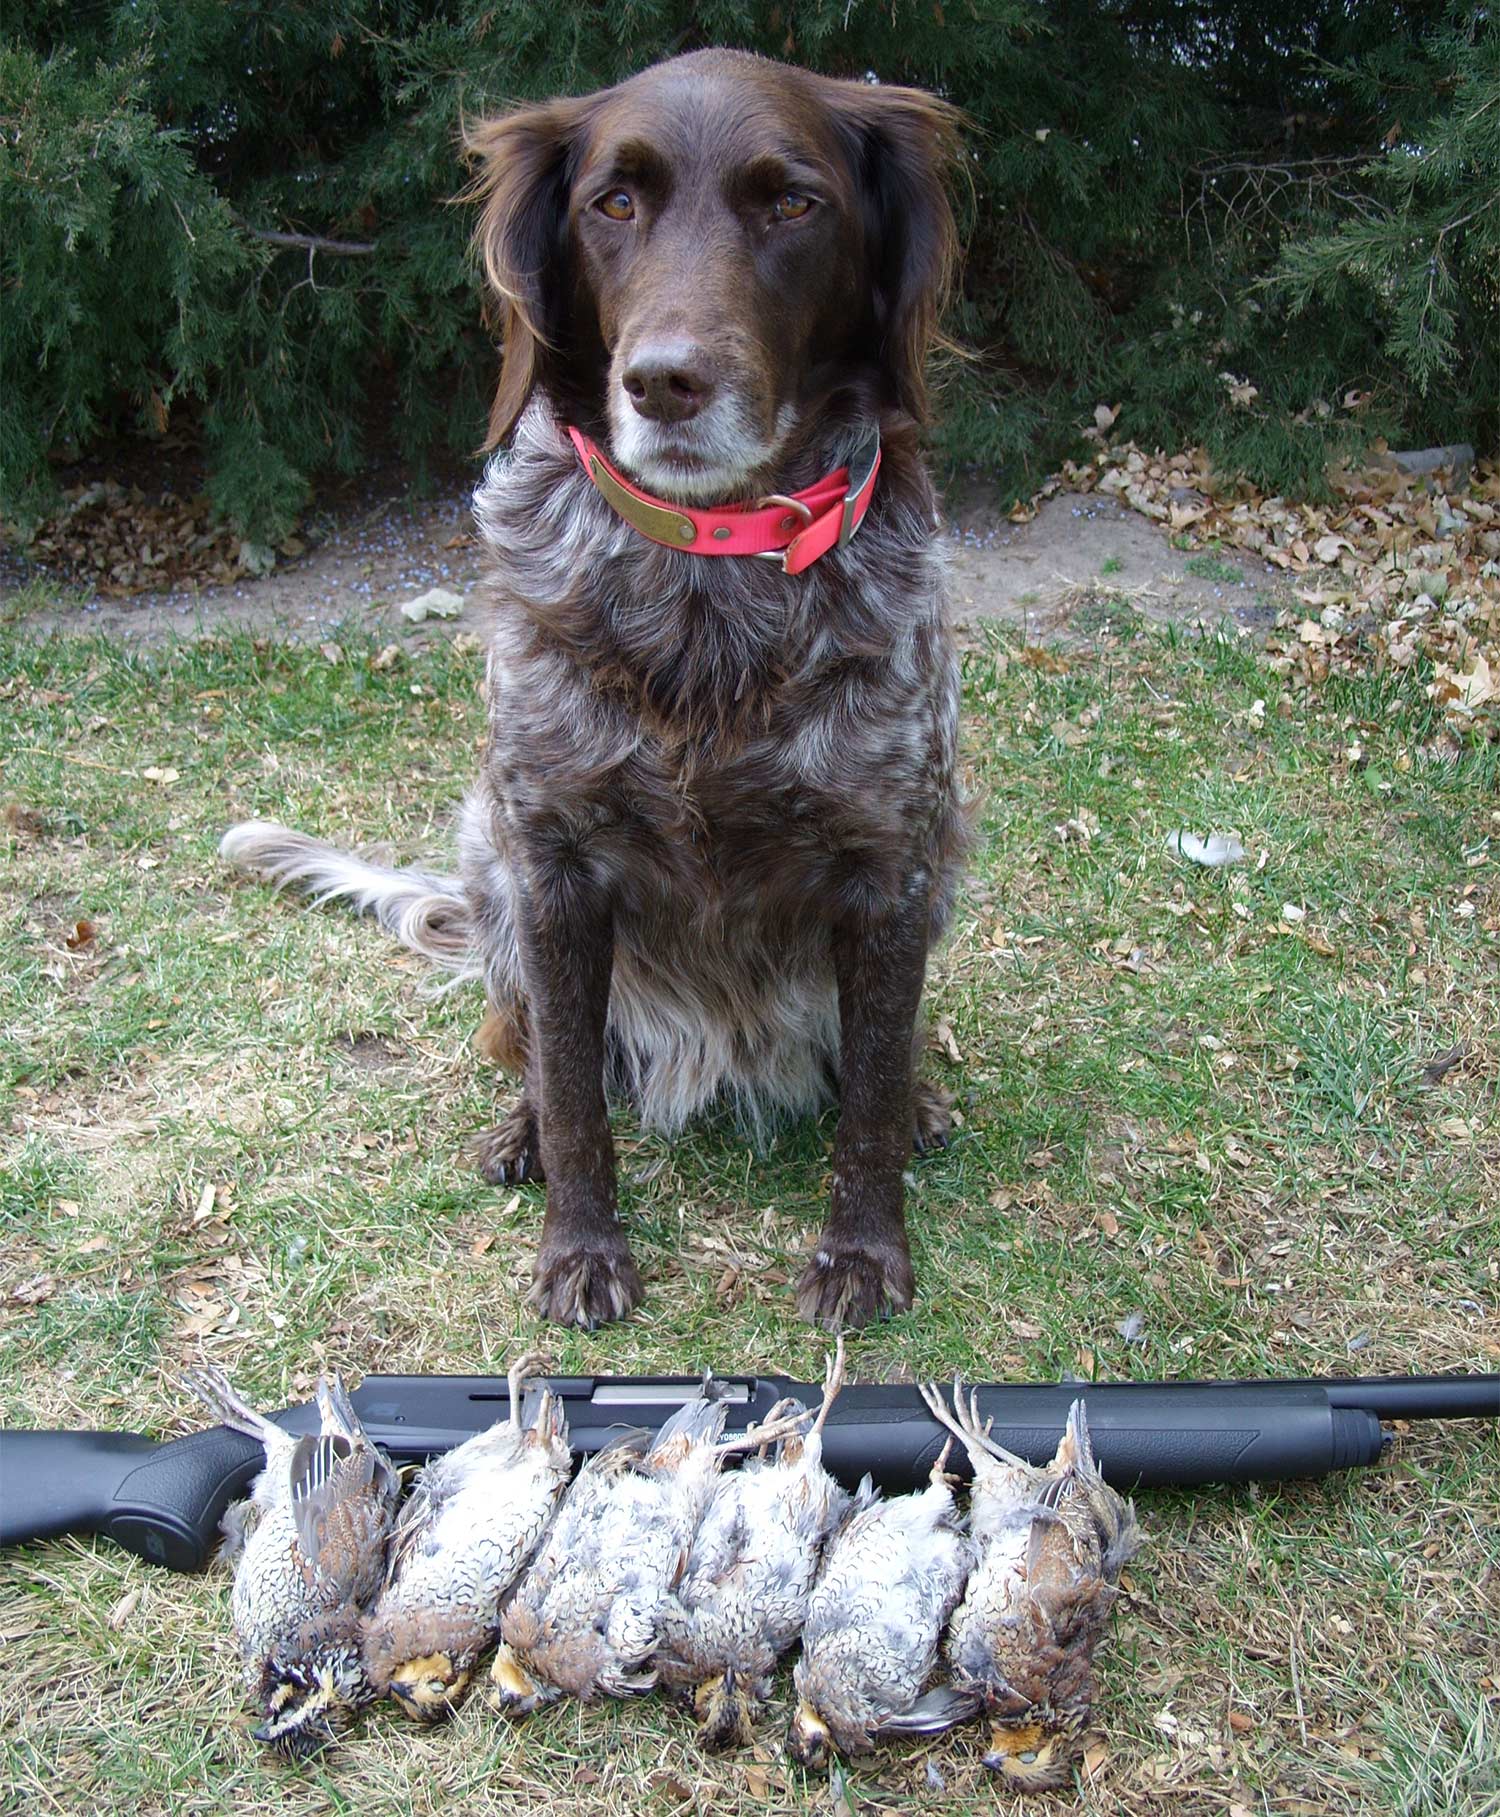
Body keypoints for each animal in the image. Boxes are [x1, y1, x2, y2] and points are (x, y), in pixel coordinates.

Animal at [222, 49, 973, 1330]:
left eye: (794, 203)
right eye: (612, 202)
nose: (667, 381)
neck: (709, 571)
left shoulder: (895, 862)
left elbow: (869, 1090)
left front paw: (864, 1251)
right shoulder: (553, 859)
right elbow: (575, 1090)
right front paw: (579, 1248)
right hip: (490, 863)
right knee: (525, 1040)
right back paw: (517, 1126)